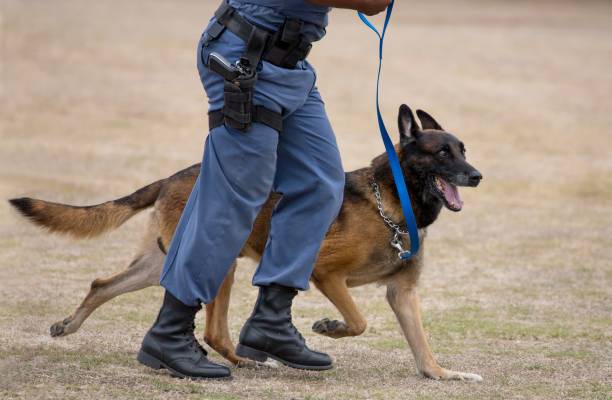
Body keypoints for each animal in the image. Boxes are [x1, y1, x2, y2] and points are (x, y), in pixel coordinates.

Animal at [8, 105, 482, 382]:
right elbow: (359, 320)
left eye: (463, 149)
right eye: (442, 153)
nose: (477, 175)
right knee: (213, 330)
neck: (393, 199)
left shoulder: (402, 293)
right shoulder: (324, 273)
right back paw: (232, 362)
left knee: (104, 284)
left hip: (160, 262)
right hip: (221, 260)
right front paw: (329, 327)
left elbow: (422, 347)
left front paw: (443, 374)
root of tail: (172, 176)